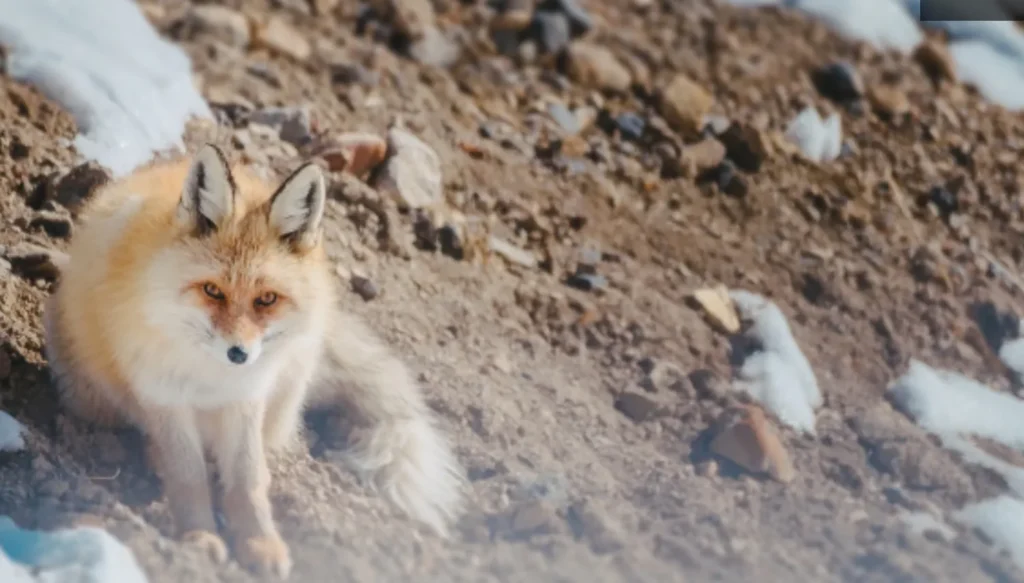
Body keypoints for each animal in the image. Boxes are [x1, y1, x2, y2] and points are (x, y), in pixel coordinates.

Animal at [42, 144, 465, 578]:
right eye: (212, 291)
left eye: (266, 299)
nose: (239, 354)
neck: (210, 376)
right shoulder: (163, 395)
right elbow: (188, 476)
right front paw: (199, 538)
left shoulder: (247, 397)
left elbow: (247, 481)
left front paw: (261, 543)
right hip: (93, 396)